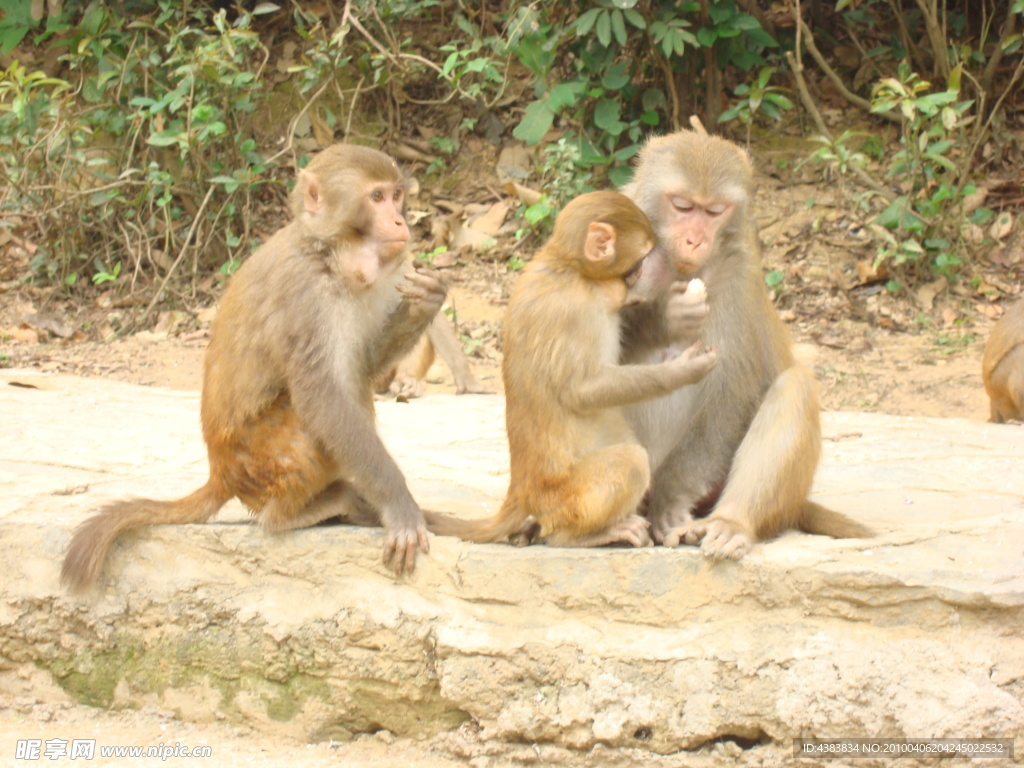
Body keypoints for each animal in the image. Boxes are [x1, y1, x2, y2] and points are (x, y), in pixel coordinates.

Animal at [61, 144, 446, 593]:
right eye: (377, 197)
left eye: (397, 195)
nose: (401, 220)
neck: (328, 252)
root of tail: (220, 472)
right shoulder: (303, 292)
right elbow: (323, 397)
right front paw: (400, 507)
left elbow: (366, 364)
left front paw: (427, 300)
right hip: (260, 460)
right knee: (311, 425)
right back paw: (291, 514)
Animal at [428, 191, 716, 548]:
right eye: (640, 260)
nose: (642, 277)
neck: (570, 268)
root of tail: (523, 489)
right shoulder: (574, 312)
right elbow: (582, 391)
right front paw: (684, 370)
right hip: (565, 499)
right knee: (631, 462)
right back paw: (576, 535)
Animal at [614, 124, 872, 561]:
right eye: (683, 206)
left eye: (714, 211)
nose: (695, 240)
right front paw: (665, 317)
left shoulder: (738, 275)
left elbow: (731, 393)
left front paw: (671, 500)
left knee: (795, 387)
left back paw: (729, 523)